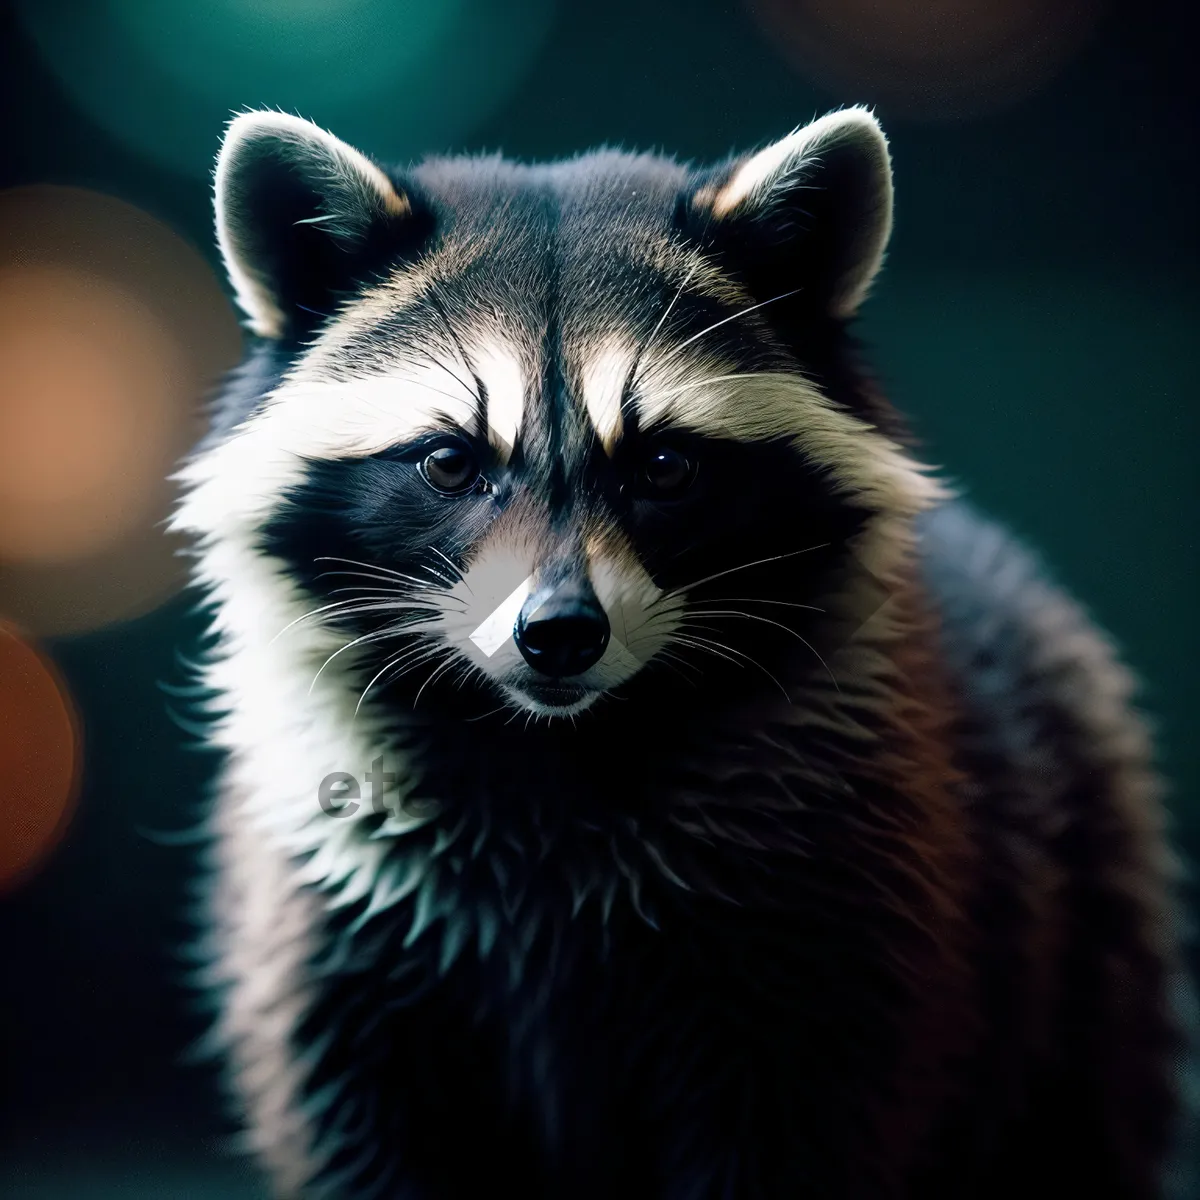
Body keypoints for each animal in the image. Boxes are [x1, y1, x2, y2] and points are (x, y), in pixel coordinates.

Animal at [174, 108, 1195, 1195]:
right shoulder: (339, 929)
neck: (555, 748)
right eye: (450, 462)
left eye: (663, 466)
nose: (559, 633)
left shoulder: (832, 928)